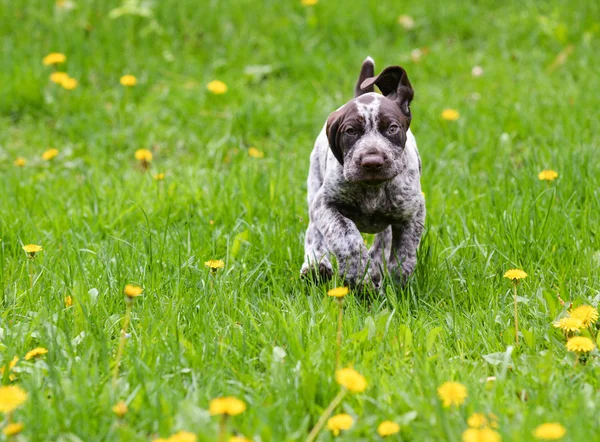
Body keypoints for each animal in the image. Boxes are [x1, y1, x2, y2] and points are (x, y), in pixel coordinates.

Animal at [300, 57, 426, 288]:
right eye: (351, 131)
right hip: (314, 186)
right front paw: (360, 275)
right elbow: (346, 236)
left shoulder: (413, 212)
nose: (372, 162)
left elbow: (404, 254)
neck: (373, 189)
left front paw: (396, 284)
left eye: (392, 128)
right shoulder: (325, 204)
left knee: (383, 238)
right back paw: (316, 265)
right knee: (314, 233)